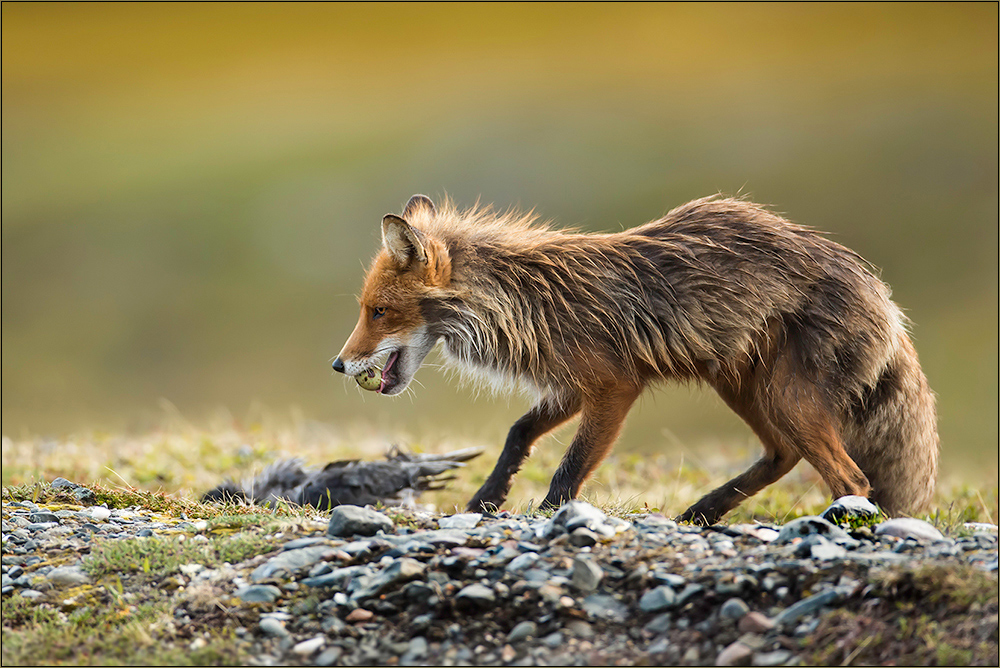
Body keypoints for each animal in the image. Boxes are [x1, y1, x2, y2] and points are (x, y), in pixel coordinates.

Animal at [334, 193, 936, 520]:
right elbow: (518, 433)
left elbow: (572, 464)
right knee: (783, 454)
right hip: (743, 388)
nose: (338, 366)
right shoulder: (575, 385)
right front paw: (487, 497)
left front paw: (550, 516)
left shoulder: (615, 386)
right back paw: (704, 512)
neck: (523, 299)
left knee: (851, 479)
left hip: (784, 395)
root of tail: (883, 295)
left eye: (378, 312)